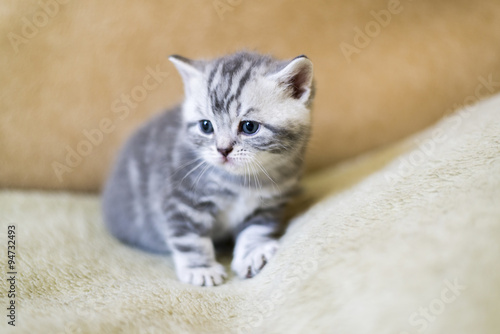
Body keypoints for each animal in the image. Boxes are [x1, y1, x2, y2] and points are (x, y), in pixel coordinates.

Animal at [101, 51, 312, 286]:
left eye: (249, 127)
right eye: (206, 126)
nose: (223, 149)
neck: (240, 182)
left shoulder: (268, 205)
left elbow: (255, 230)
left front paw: (252, 253)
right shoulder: (183, 200)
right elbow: (191, 239)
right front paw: (201, 269)